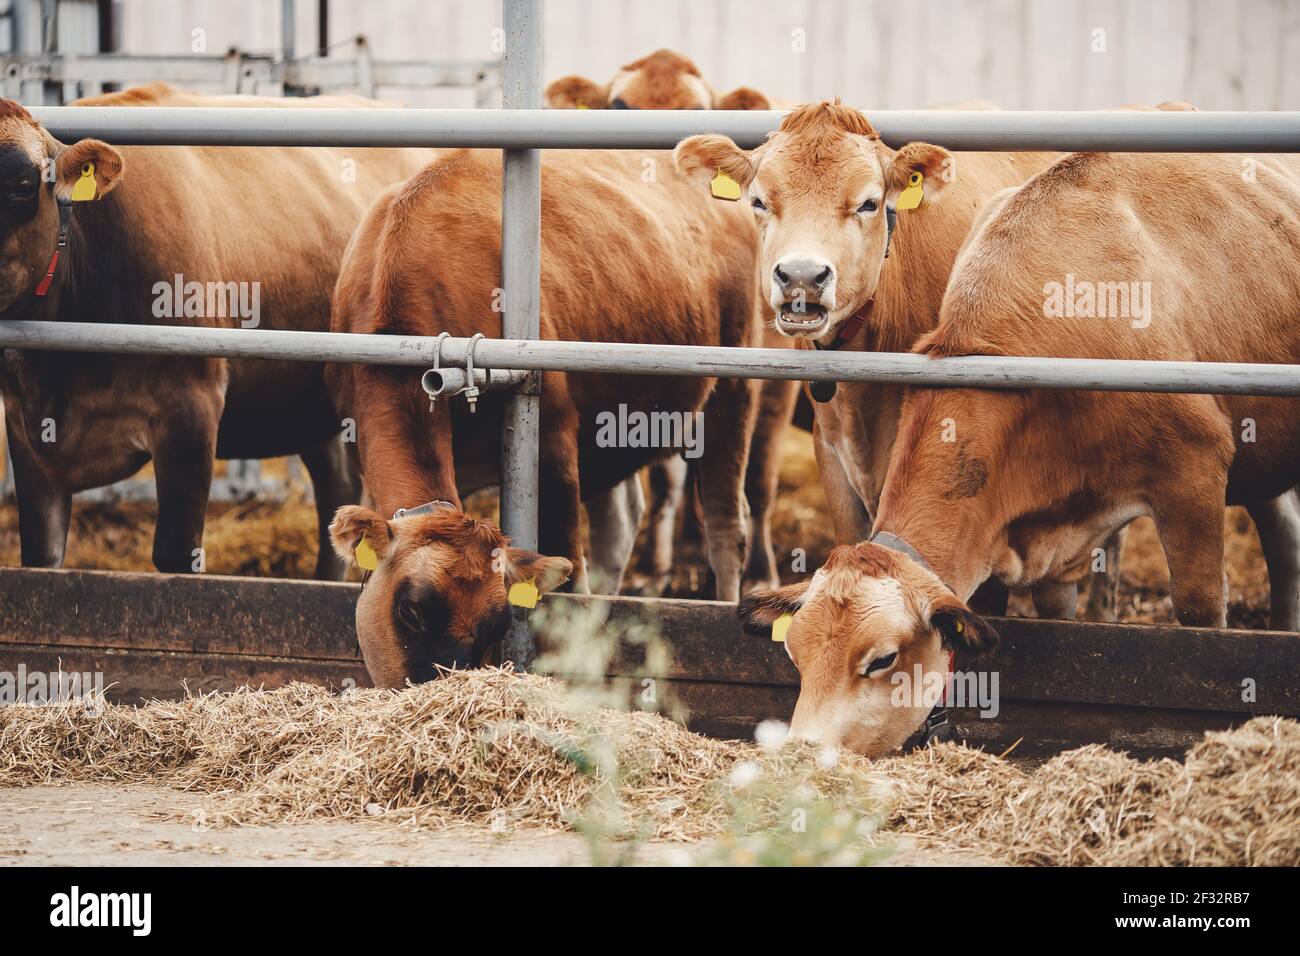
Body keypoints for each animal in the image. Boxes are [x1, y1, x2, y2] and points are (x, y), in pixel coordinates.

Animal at [325, 147, 759, 686]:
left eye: (494, 629)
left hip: (735, 385)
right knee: (622, 525)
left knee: (726, 523)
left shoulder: (552, 438)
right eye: (411, 611)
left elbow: (570, 576)